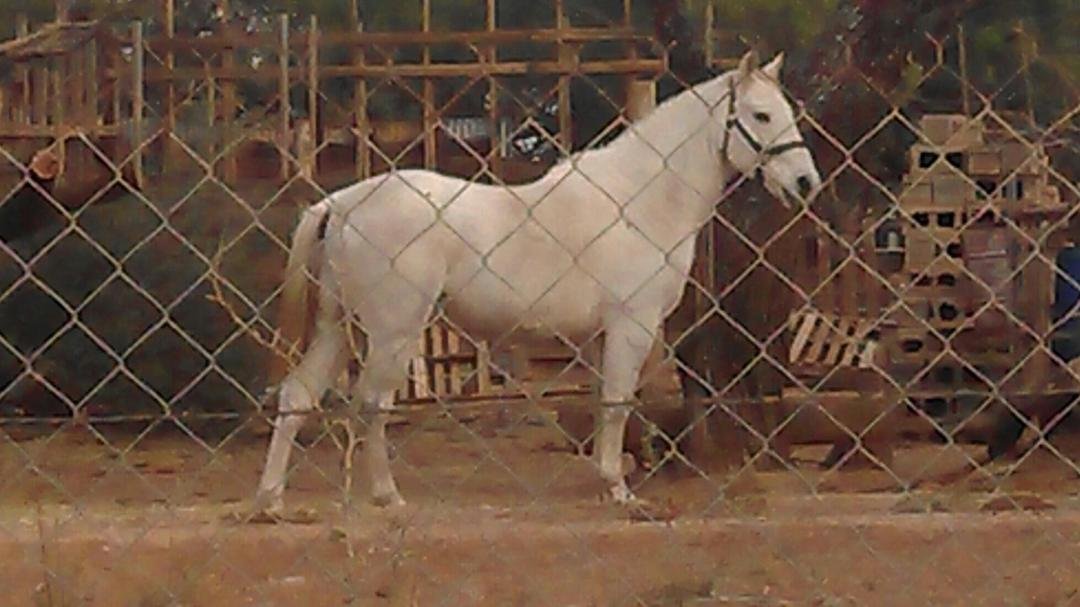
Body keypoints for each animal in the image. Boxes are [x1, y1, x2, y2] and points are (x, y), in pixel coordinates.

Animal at [253, 49, 823, 513]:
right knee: (371, 405)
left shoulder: (599, 337)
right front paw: (619, 489)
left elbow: (604, 404)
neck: (640, 198)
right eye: (761, 115)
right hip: (392, 332)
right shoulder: (631, 326)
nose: (805, 183)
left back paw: (271, 499)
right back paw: (386, 495)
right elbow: (620, 402)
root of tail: (340, 204)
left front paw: (605, 479)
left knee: (298, 397)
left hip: (338, 327)